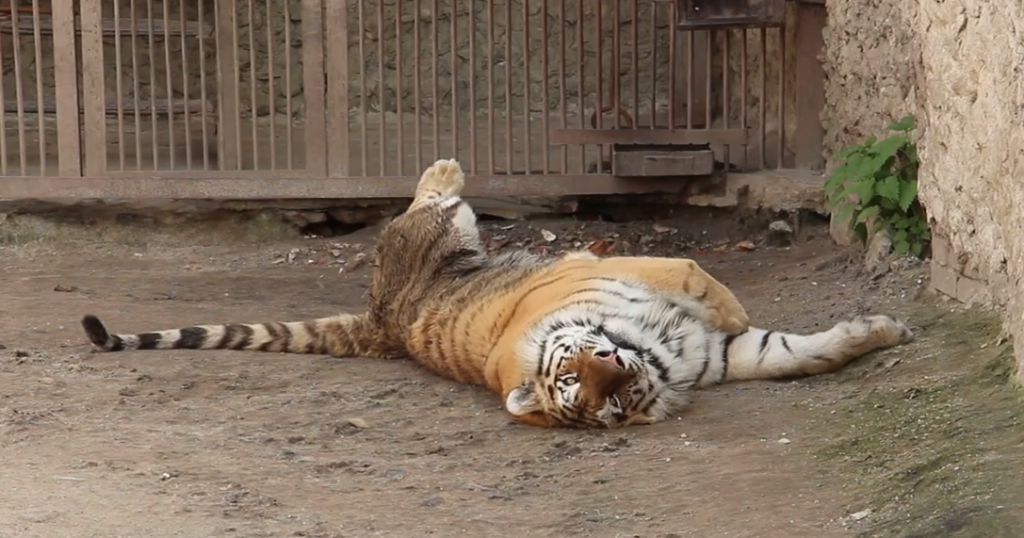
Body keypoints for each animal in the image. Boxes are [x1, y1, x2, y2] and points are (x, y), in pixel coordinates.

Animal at [77, 155, 913, 428]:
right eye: (590, 397)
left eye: (580, 370)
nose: (618, 367)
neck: (655, 354)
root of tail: (381, 317)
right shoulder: (706, 344)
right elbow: (775, 344)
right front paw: (882, 332)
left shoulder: (671, 299)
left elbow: (739, 310)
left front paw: (881, 332)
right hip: (438, 237)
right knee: (433, 202)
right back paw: (448, 168)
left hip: (437, 242)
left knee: (427, 198)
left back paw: (447, 162)